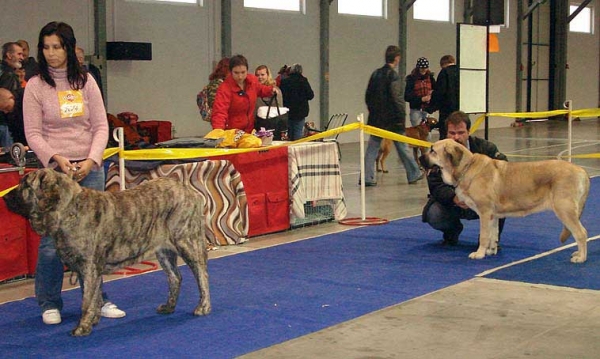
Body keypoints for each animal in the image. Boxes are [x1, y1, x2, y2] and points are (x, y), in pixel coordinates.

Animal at [4, 169, 211, 338]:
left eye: (25, 184)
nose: (5, 198)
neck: (67, 209)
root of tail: (188, 190)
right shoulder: (89, 269)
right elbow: (93, 295)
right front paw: (93, 320)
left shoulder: (88, 266)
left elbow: (86, 300)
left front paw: (82, 327)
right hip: (164, 250)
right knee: (175, 277)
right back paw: (169, 306)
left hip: (186, 241)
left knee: (202, 274)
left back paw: (203, 306)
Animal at [422, 139, 592, 262]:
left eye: (432, 151)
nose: (419, 157)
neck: (466, 168)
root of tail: (581, 170)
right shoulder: (493, 215)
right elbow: (493, 234)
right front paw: (490, 251)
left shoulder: (485, 212)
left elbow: (484, 235)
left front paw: (479, 253)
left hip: (564, 209)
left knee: (581, 233)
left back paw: (581, 257)